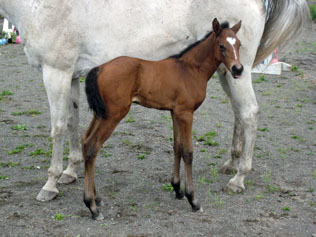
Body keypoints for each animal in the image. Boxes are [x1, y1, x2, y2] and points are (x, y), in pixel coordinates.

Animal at [82, 17, 243, 219]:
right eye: (221, 46)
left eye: (239, 44)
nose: (238, 69)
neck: (190, 69)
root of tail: (100, 68)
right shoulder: (186, 113)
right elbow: (188, 152)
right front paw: (193, 199)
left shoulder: (175, 113)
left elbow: (177, 147)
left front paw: (177, 189)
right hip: (114, 114)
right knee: (92, 146)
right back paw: (92, 206)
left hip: (101, 113)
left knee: (84, 141)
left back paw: (97, 198)